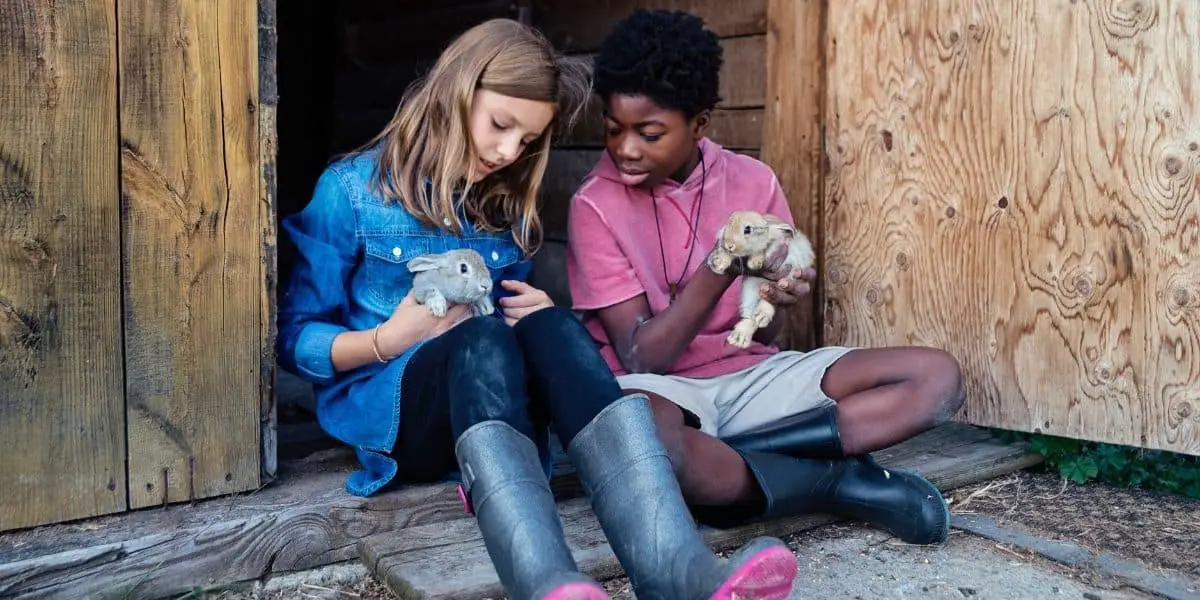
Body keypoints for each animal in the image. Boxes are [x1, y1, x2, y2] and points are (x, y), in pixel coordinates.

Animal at [705, 211, 820, 348]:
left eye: (747, 229)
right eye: (728, 224)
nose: (729, 245)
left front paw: (755, 262)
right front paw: (718, 263)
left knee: (769, 300)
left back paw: (760, 317)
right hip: (749, 291)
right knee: (749, 315)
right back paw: (739, 338)